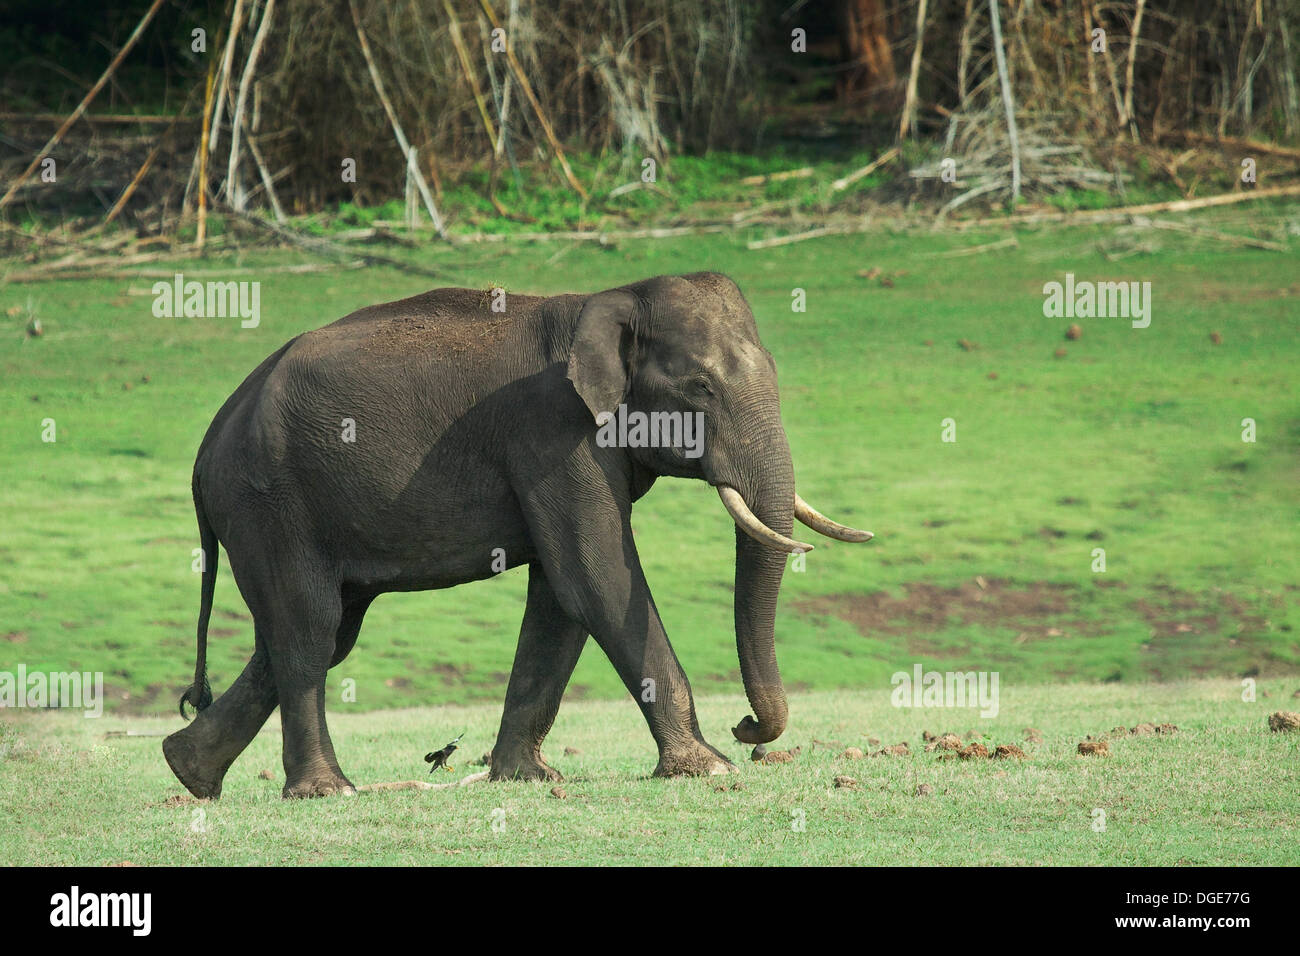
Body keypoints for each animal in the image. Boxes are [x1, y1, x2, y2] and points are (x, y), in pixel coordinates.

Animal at [162, 271, 871, 799]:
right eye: (700, 388)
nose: (747, 727)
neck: (607, 299)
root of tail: (204, 449)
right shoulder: (554, 431)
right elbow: (596, 576)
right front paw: (707, 767)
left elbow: (561, 596)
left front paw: (526, 777)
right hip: (268, 501)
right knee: (308, 631)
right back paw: (326, 791)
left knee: (316, 632)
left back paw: (188, 770)